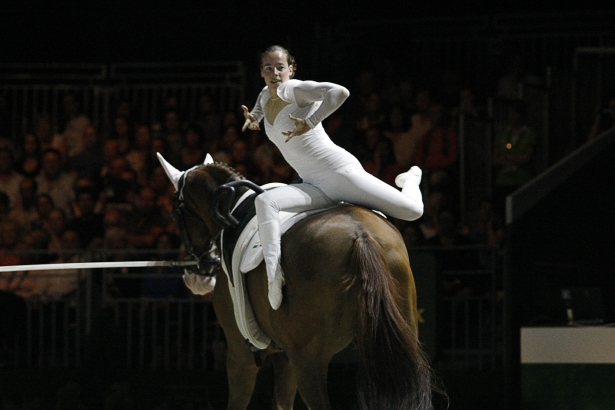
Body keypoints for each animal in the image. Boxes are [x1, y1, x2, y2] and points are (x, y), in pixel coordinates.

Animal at [161, 155, 436, 410]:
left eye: (175, 214)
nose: (197, 276)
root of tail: (361, 235)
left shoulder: (241, 356)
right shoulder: (285, 357)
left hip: (308, 362)